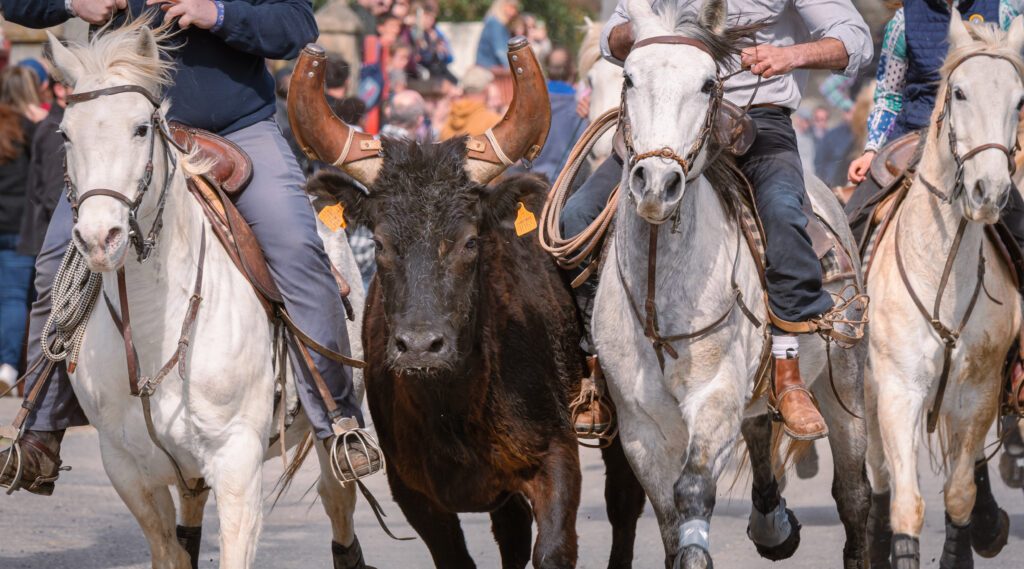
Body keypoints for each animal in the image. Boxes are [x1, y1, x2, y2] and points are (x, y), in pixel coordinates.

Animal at [864, 14, 1024, 569]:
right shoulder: (897, 387)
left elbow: (959, 494)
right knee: (878, 475)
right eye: (959, 92)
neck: (942, 266)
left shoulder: (978, 390)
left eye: (1019, 100)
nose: (989, 192)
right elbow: (905, 503)